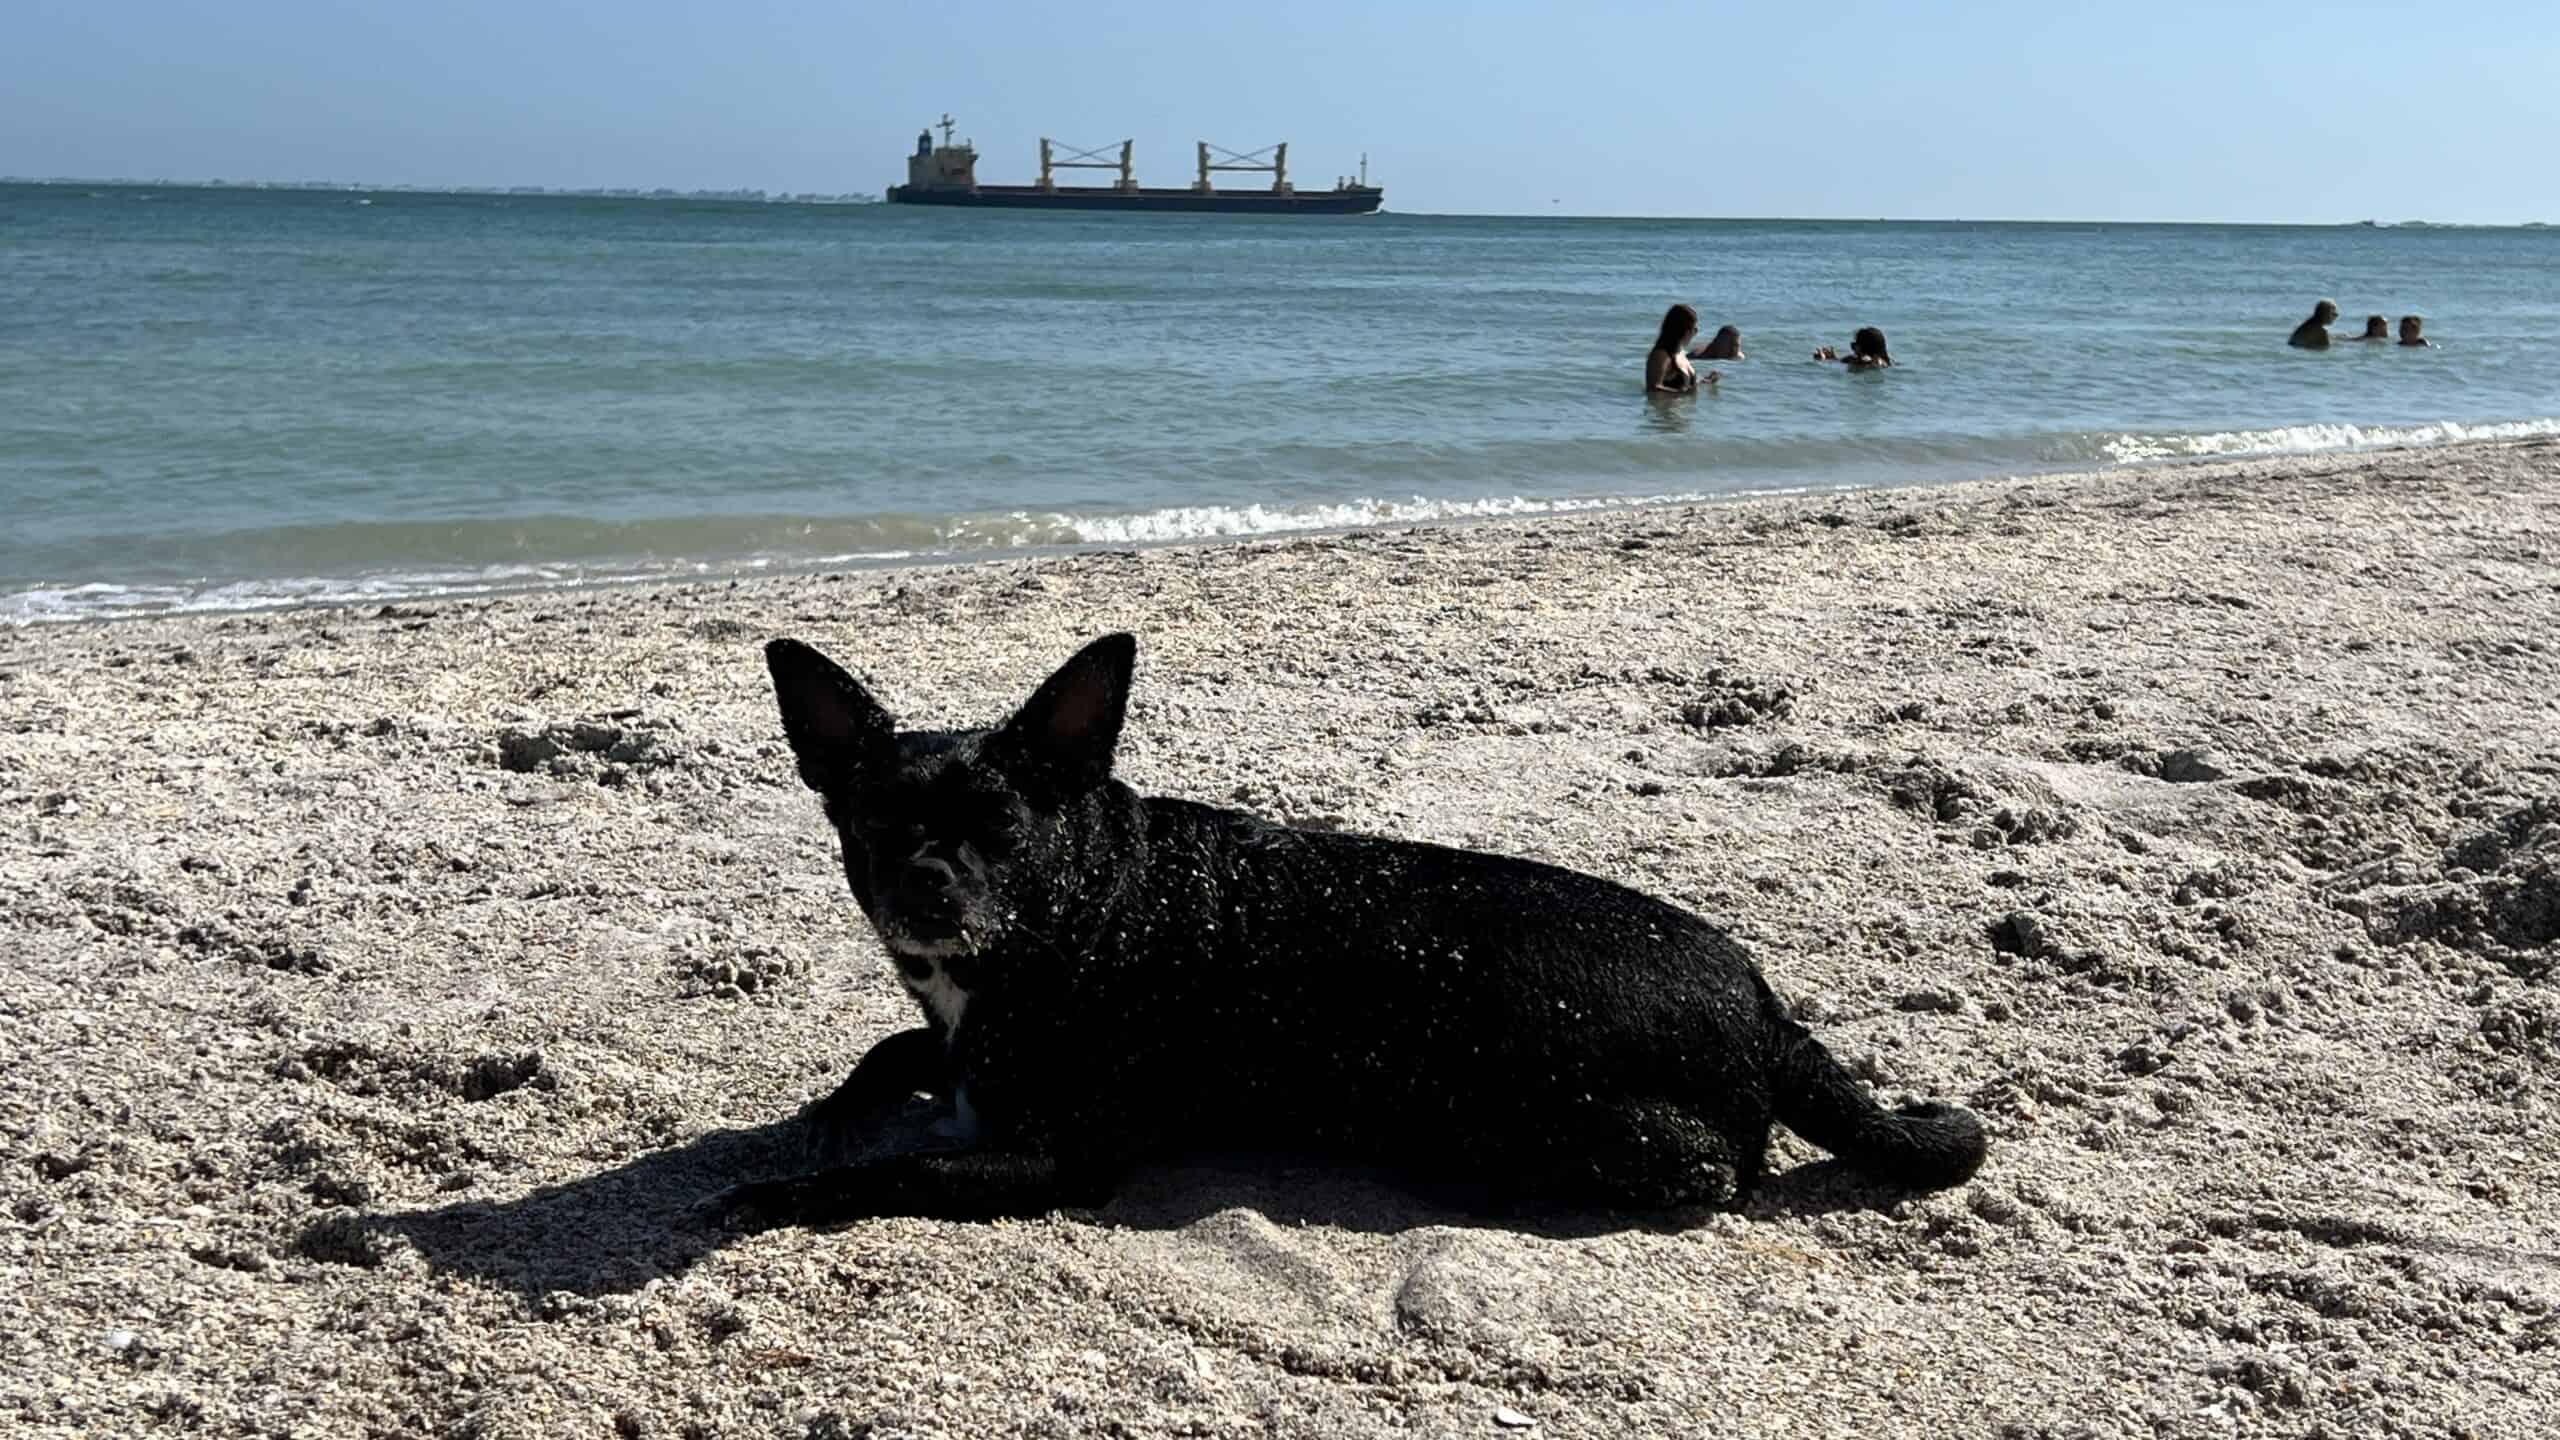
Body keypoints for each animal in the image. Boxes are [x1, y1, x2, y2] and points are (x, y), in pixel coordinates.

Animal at [711, 632, 1986, 1229]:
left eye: (1005, 829)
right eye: (875, 827)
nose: (927, 888)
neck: (1072, 913)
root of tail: (1764, 1006)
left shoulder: (1053, 1158)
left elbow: (903, 1166)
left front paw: (782, 1191)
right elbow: (897, 1051)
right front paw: (839, 1104)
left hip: (1556, 1115)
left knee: (1707, 1168)